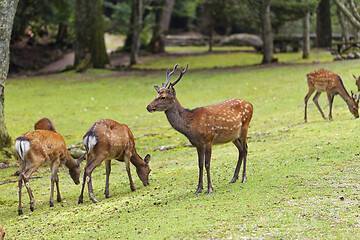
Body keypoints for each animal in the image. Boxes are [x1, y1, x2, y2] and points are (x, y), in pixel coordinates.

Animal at [146, 62, 253, 194]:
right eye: (156, 94)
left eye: (163, 97)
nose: (148, 107)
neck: (191, 127)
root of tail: (250, 104)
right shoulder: (197, 144)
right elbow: (200, 164)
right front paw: (198, 188)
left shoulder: (208, 139)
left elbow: (207, 164)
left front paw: (209, 188)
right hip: (233, 136)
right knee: (241, 150)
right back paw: (233, 178)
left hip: (245, 127)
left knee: (246, 148)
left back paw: (243, 178)